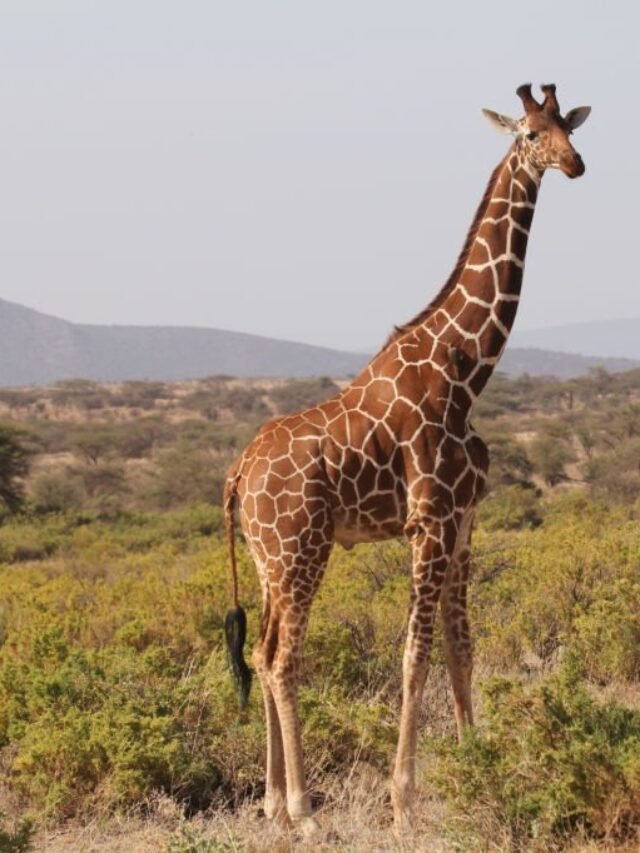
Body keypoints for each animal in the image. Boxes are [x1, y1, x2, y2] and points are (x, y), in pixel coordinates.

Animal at [224, 83, 592, 828]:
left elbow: (461, 646)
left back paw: (273, 801)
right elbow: (414, 653)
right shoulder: (429, 521)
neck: (468, 367)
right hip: (302, 549)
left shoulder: (465, 522)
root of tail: (239, 473)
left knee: (261, 648)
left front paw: (480, 764)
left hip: (269, 558)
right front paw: (404, 799)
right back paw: (304, 807)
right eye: (529, 135)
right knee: (282, 658)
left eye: (566, 127)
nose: (575, 165)